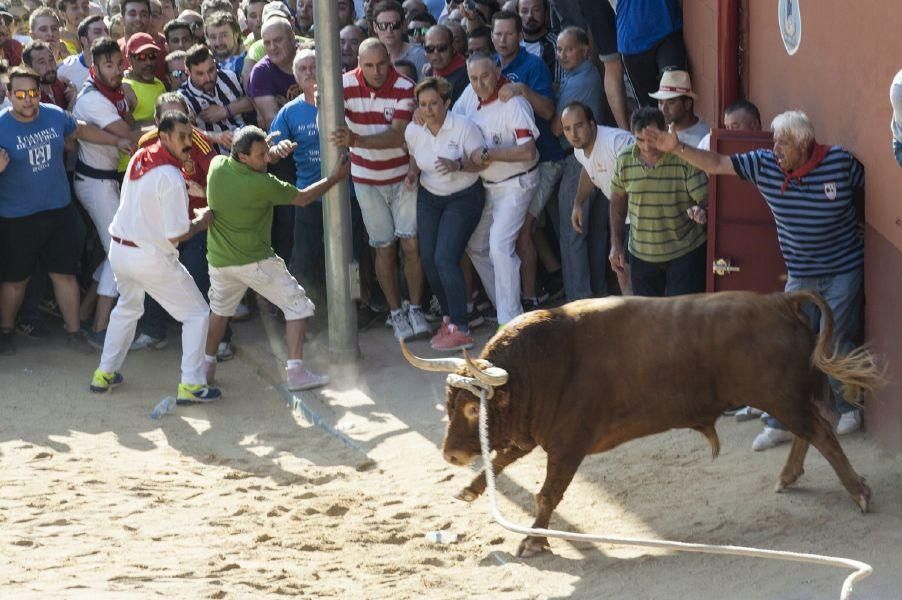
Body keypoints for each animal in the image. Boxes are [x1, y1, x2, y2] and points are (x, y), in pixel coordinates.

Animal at [402, 290, 884, 556]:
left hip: (779, 395)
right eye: (450, 403)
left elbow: (545, 494)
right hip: (785, 397)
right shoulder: (530, 433)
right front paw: (469, 490)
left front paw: (534, 541)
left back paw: (860, 493)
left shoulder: (567, 445)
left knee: (820, 430)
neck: (540, 364)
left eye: (472, 409)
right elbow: (500, 460)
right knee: (810, 429)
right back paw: (790, 476)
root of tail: (778, 302)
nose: (451, 454)